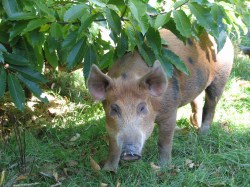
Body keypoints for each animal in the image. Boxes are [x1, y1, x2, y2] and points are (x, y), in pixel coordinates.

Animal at [87, 28, 233, 172]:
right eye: (114, 108)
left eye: (142, 107)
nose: (129, 153)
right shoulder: (110, 123)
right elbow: (113, 145)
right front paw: (107, 171)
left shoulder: (170, 110)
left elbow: (164, 140)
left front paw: (163, 167)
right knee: (196, 102)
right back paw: (195, 126)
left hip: (222, 76)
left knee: (210, 105)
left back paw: (202, 134)